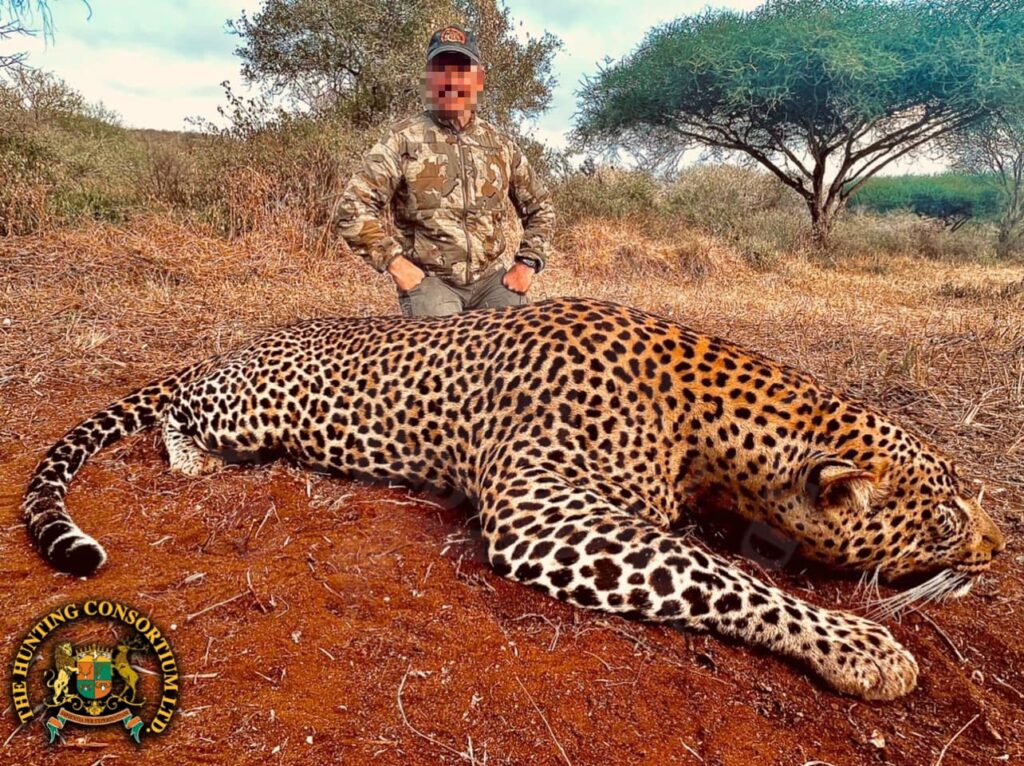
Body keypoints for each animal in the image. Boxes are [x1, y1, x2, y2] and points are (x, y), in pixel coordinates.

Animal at [21, 297, 1006, 700]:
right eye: (950, 517)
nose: (1000, 550)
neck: (709, 430)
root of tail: (237, 344)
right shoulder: (545, 513)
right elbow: (720, 577)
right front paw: (864, 648)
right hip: (252, 405)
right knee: (177, 410)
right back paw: (191, 459)